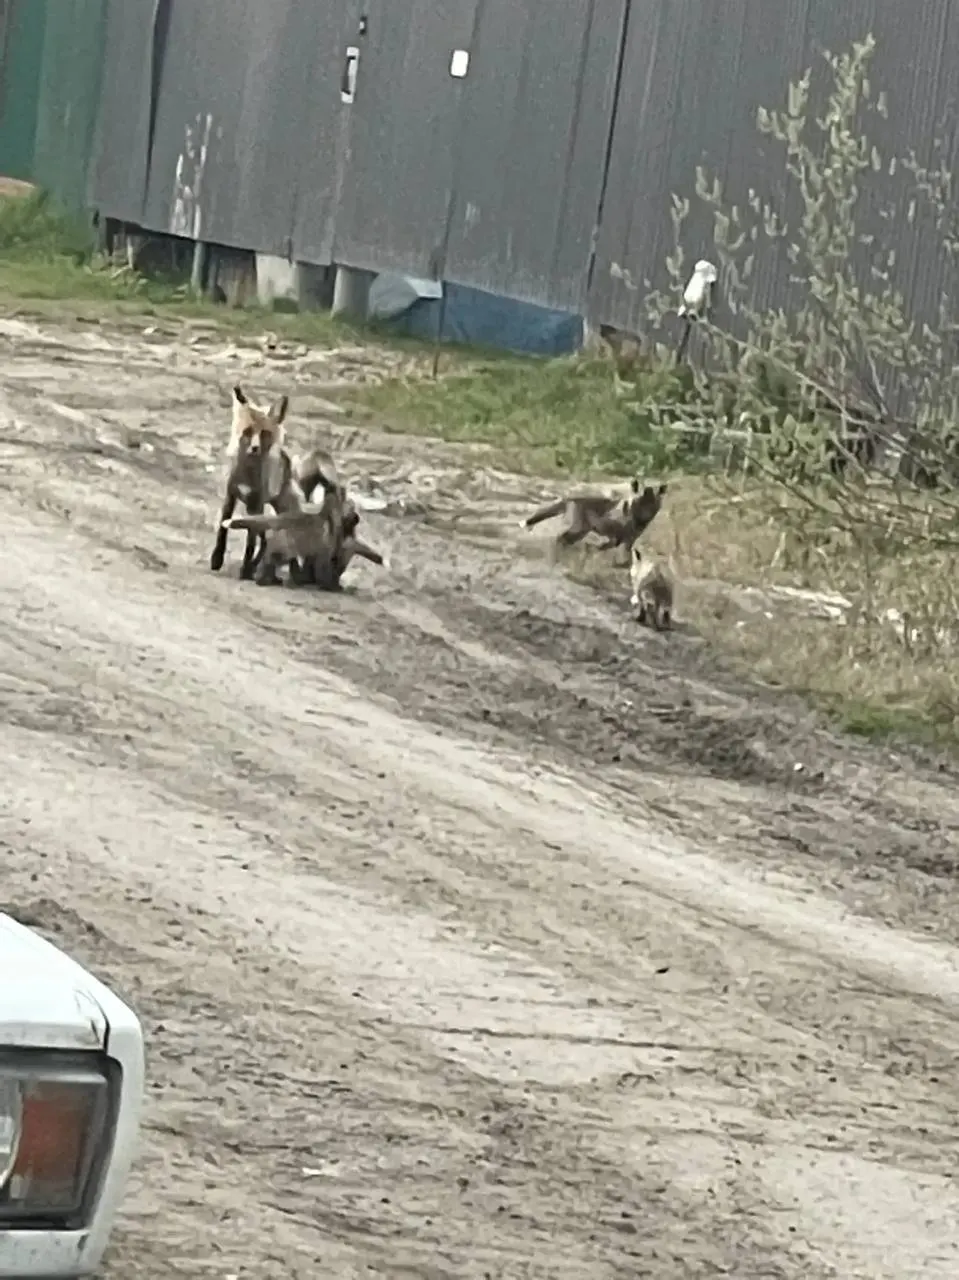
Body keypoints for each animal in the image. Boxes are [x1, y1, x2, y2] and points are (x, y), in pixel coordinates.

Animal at [521, 479, 667, 553]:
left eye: (652, 503)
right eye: (640, 500)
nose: (645, 516)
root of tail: (568, 497)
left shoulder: (629, 539)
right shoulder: (610, 526)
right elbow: (612, 540)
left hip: (581, 530)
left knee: (565, 539)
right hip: (578, 526)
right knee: (561, 538)